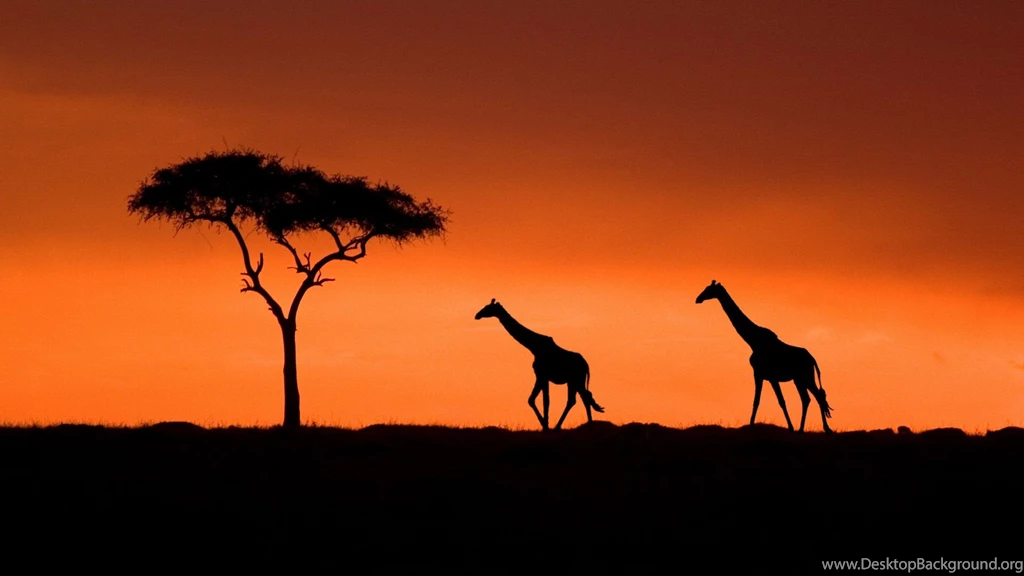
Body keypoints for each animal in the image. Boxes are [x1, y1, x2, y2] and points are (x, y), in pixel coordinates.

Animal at [474, 298, 605, 430]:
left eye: (488, 308)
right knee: (577, 399)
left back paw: (580, 425)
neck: (534, 347)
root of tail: (586, 365)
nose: (477, 315)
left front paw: (545, 425)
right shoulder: (543, 377)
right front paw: (545, 424)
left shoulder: (541, 375)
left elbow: (536, 400)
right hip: (573, 381)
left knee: (583, 397)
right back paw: (574, 425)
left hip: (577, 379)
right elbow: (542, 400)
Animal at [695, 280, 834, 434]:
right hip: (799, 379)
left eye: (709, 289)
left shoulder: (768, 376)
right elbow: (757, 401)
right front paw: (751, 425)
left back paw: (825, 429)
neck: (753, 341)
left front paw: (789, 427)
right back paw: (801, 429)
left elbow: (780, 401)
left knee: (818, 396)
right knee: (807, 399)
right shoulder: (760, 374)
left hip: (806, 377)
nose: (698, 299)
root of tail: (813, 359)